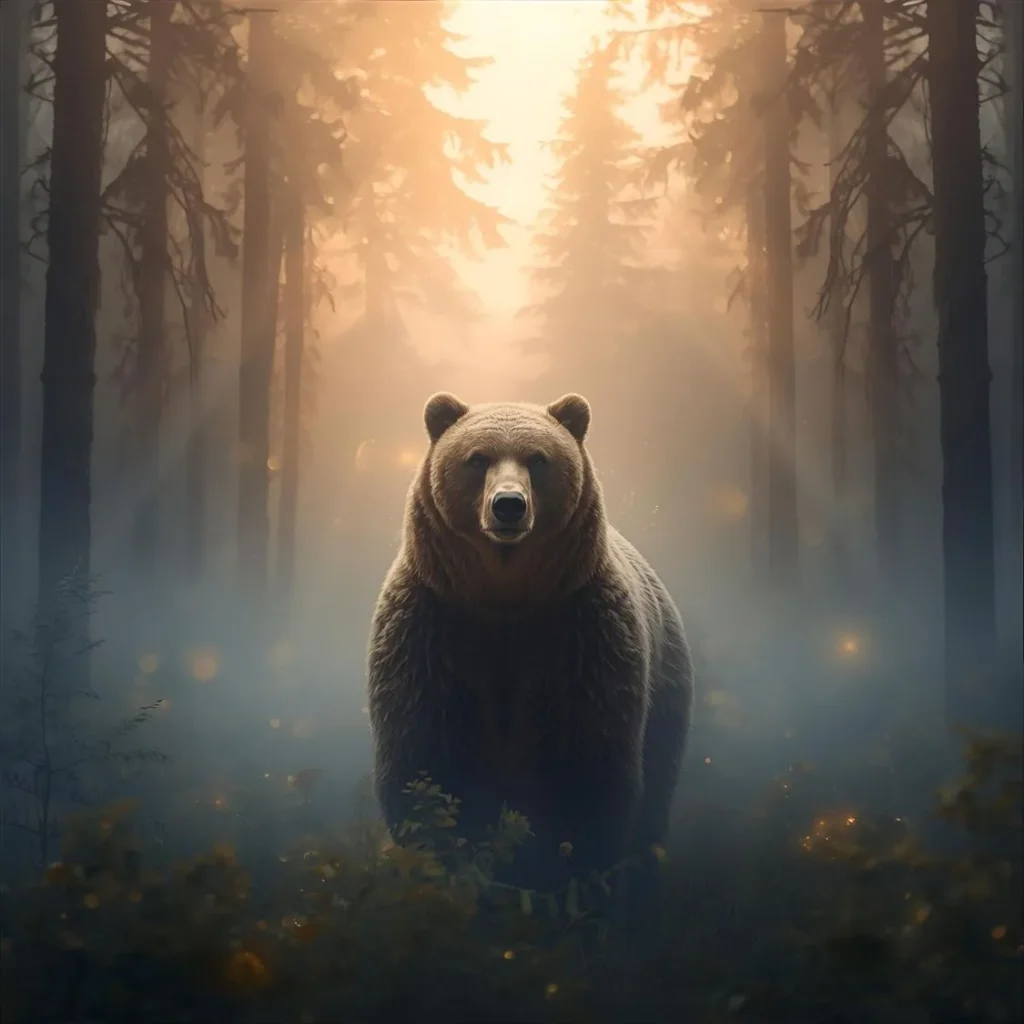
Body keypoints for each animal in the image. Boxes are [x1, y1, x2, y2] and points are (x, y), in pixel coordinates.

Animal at [366, 392, 695, 894]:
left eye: (538, 459)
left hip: (666, 695)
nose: (508, 505)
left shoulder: (577, 639)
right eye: (477, 458)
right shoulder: (434, 631)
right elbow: (429, 755)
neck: (505, 599)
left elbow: (581, 769)